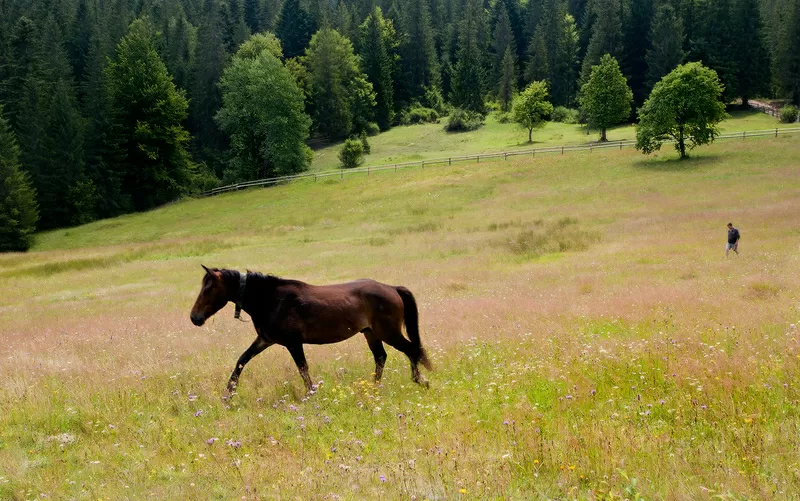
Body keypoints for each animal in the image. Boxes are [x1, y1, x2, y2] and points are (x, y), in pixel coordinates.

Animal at [189, 266, 432, 394]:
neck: (270, 300)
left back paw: (419, 381)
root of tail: (392, 288)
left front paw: (311, 393)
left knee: (411, 349)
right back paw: (373, 387)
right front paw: (229, 392)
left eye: (208, 289)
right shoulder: (265, 339)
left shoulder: (293, 343)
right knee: (381, 356)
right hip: (370, 333)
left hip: (387, 332)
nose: (194, 318)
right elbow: (242, 360)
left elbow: (303, 369)